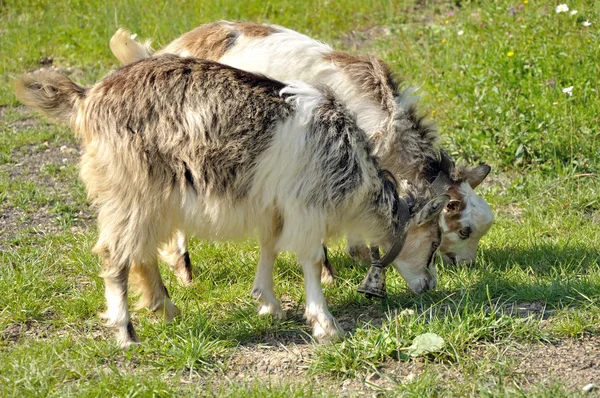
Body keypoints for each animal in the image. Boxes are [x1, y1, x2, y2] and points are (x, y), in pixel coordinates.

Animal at [15, 54, 450, 346]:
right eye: (433, 242)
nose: (428, 285)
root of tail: (87, 97)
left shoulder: (274, 207)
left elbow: (269, 246)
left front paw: (268, 303)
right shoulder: (306, 208)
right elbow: (309, 260)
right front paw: (326, 326)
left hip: (153, 198)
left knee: (142, 251)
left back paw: (165, 308)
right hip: (130, 192)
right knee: (114, 254)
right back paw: (126, 333)